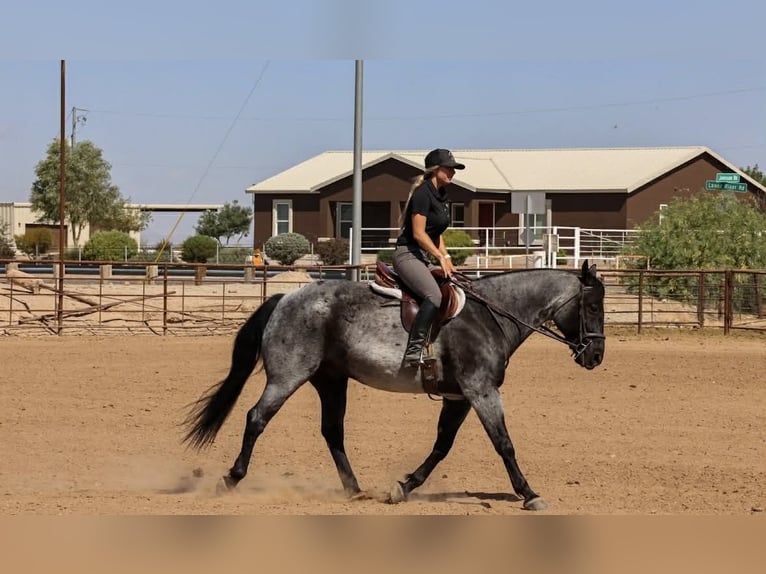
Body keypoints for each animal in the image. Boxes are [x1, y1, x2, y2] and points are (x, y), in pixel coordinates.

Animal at [183, 260, 605, 511]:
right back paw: (231, 478)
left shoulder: (459, 397)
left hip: (331, 380)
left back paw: (354, 488)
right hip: (289, 376)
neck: (491, 316)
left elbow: (442, 446)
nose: (597, 356)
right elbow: (504, 443)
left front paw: (404, 486)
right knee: (256, 418)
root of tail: (286, 297)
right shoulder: (481, 390)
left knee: (332, 430)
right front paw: (530, 494)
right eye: (592, 306)